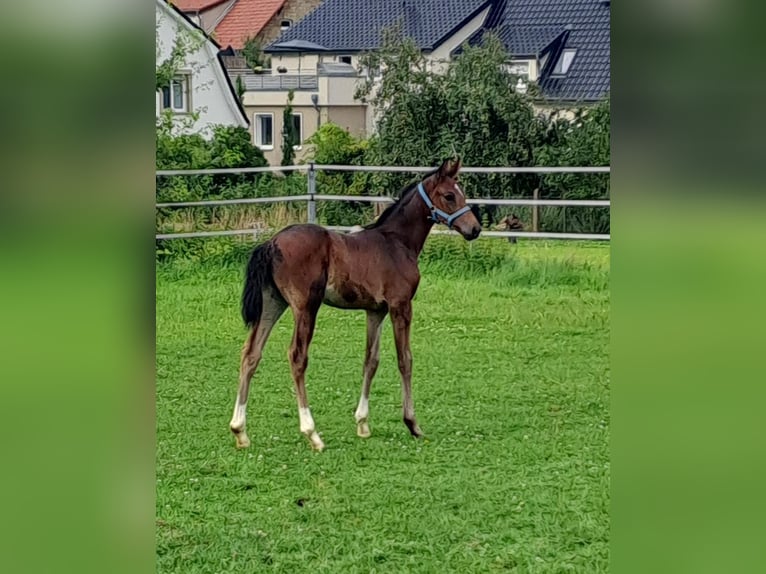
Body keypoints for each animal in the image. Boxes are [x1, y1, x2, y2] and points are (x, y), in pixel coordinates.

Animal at [230, 160, 480, 452]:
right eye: (449, 196)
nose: (475, 229)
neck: (397, 243)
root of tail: (271, 243)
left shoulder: (376, 310)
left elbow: (371, 360)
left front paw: (362, 423)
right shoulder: (401, 306)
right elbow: (405, 359)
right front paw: (413, 424)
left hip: (272, 303)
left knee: (251, 353)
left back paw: (240, 430)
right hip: (306, 307)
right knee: (297, 356)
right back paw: (312, 433)